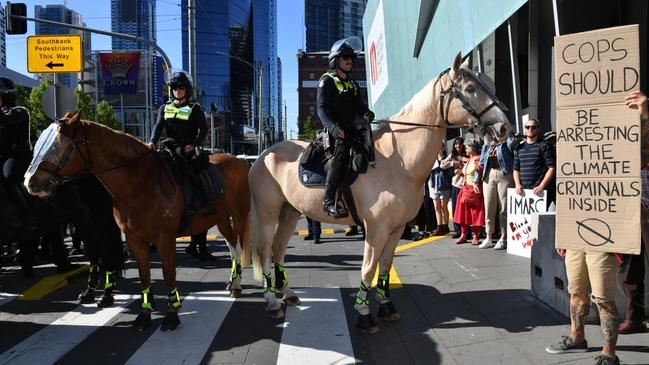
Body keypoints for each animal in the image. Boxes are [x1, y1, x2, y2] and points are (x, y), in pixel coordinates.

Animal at [23, 112, 251, 332]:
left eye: (59, 146)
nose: (29, 182)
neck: (140, 183)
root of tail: (241, 162)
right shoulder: (133, 239)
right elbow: (144, 276)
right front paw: (144, 316)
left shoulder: (165, 239)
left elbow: (168, 275)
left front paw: (171, 316)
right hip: (221, 218)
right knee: (231, 246)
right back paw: (232, 282)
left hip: (239, 215)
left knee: (239, 246)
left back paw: (237, 286)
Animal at [248, 52, 512, 332]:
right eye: (471, 89)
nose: (505, 128)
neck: (399, 162)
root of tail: (263, 156)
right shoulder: (376, 229)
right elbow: (368, 268)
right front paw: (364, 313)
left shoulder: (396, 228)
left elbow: (384, 266)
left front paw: (386, 306)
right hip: (267, 215)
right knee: (265, 252)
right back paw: (273, 303)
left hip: (289, 212)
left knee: (278, 250)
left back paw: (288, 294)